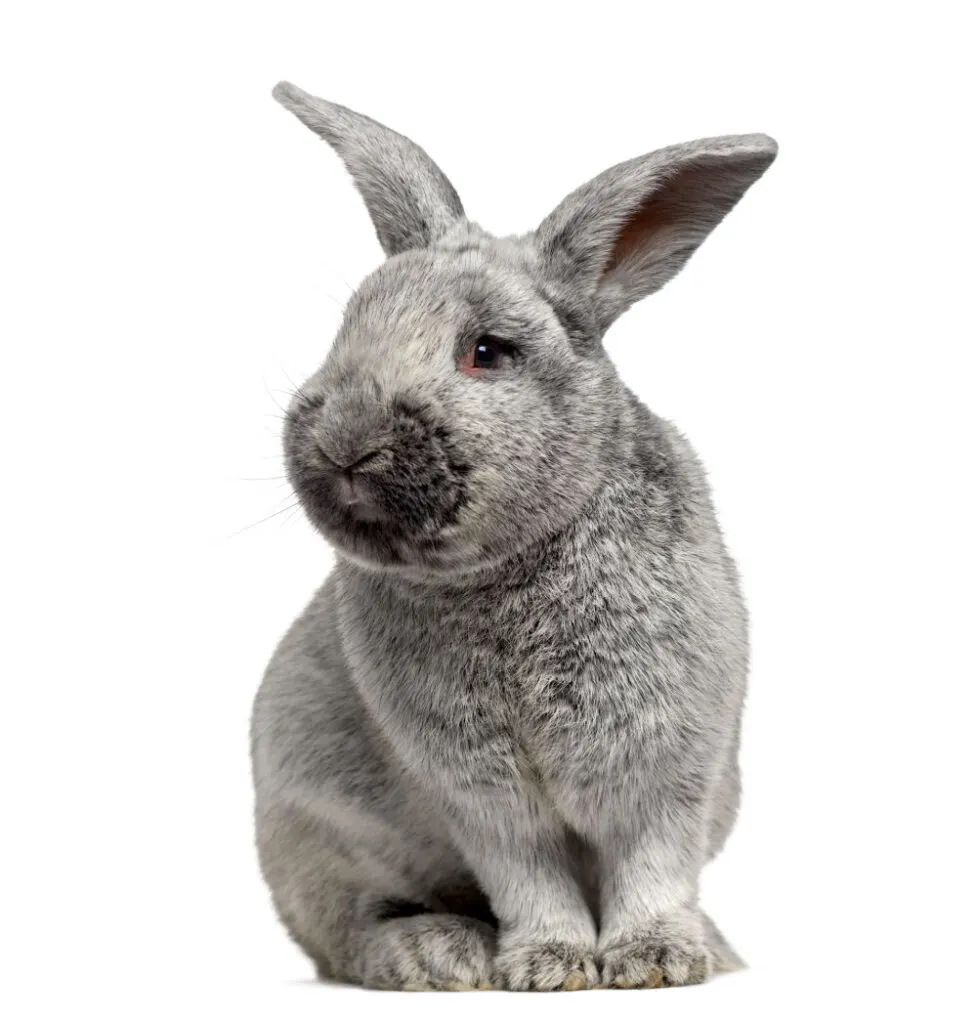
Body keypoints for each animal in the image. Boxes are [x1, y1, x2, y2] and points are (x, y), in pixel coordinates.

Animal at [250, 81, 778, 991]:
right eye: (349, 327)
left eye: (487, 351)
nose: (347, 443)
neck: (504, 569)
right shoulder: (481, 795)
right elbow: (530, 877)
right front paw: (548, 966)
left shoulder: (665, 764)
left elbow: (651, 863)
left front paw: (654, 961)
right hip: (310, 835)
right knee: (350, 929)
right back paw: (435, 953)